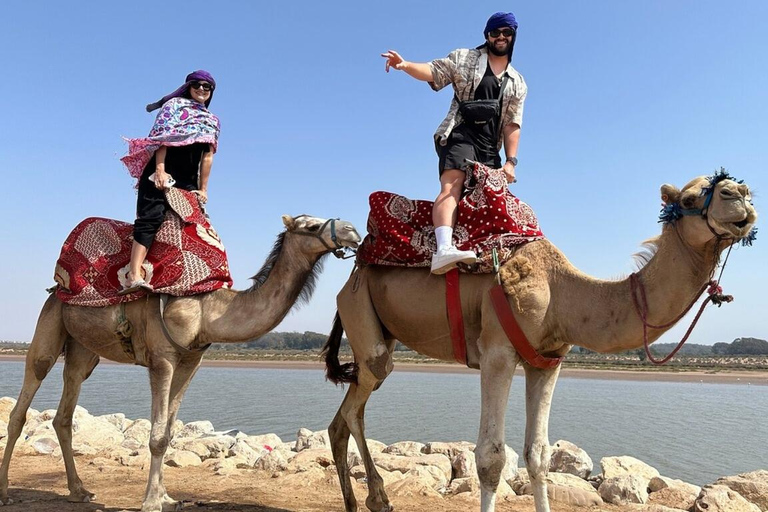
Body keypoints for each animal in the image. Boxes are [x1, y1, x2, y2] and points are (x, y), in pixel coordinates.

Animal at [0, 214, 362, 510]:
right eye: (310, 226)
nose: (352, 230)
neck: (208, 310)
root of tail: (58, 285)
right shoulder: (162, 358)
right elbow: (157, 436)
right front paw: (150, 502)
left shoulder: (191, 361)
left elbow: (170, 432)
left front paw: (166, 496)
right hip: (49, 325)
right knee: (23, 405)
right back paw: (5, 492)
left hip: (82, 351)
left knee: (64, 412)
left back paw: (79, 491)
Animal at [322, 173, 756, 512]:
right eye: (689, 199)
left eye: (734, 188)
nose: (740, 194)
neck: (564, 294)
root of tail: (352, 272)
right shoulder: (498, 353)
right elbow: (490, 457)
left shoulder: (547, 360)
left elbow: (539, 455)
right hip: (361, 311)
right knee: (356, 407)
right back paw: (377, 498)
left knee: (344, 416)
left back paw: (358, 501)